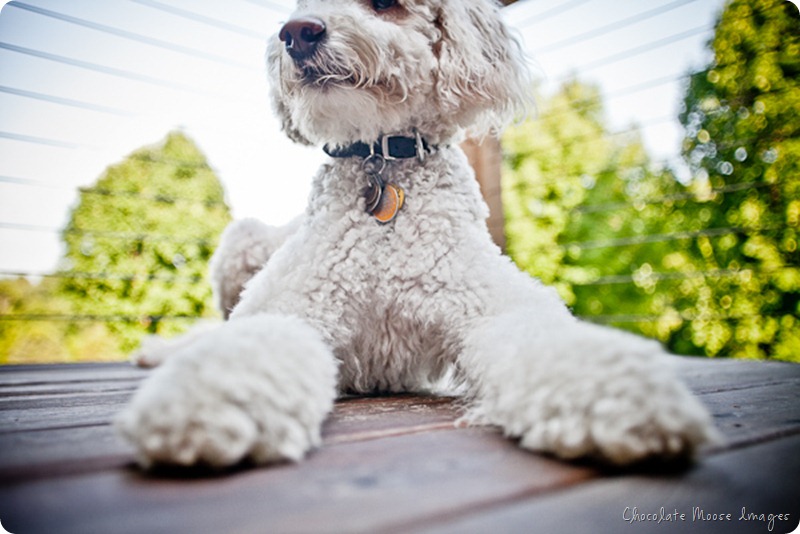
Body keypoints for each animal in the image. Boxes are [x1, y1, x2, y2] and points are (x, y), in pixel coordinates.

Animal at [114, 0, 720, 468]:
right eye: (300, 4)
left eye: (385, 3)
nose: (297, 32)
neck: (385, 165)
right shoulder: (290, 304)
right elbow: (247, 346)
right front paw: (201, 406)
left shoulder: (491, 300)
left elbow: (548, 340)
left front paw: (618, 397)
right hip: (242, 242)